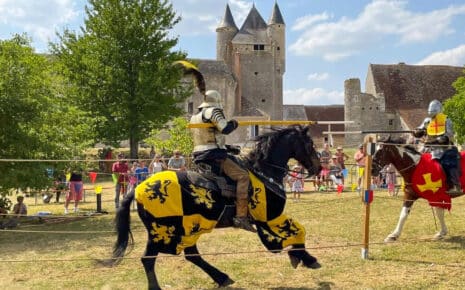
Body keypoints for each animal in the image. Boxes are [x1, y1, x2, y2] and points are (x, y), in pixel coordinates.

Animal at [112, 125, 320, 288]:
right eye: (310, 144)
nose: (317, 168)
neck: (264, 171)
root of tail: (138, 188)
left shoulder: (270, 220)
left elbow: (295, 233)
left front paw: (301, 256)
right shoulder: (271, 217)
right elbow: (299, 231)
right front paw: (306, 258)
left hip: (186, 228)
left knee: (191, 255)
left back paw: (221, 277)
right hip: (162, 230)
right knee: (148, 259)